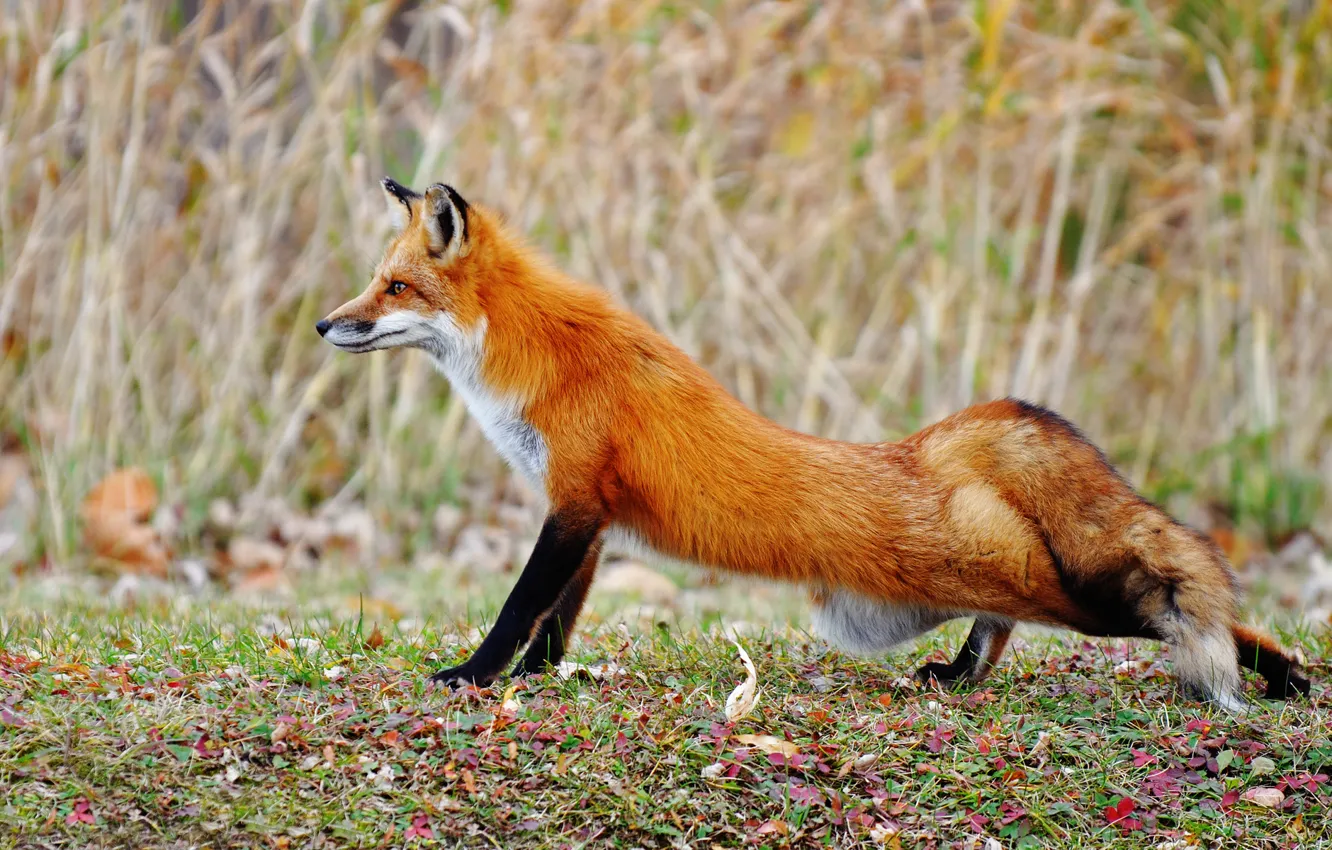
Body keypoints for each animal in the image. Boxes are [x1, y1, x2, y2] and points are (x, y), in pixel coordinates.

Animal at [317, 178, 1311, 712]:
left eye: (395, 286)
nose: (326, 323)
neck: (536, 359)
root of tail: (935, 449)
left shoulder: (572, 504)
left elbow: (520, 605)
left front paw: (475, 676)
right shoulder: (590, 516)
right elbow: (556, 621)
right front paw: (542, 679)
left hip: (1060, 593)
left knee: (1161, 608)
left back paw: (1285, 672)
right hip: (992, 582)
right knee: (1011, 623)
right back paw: (962, 676)